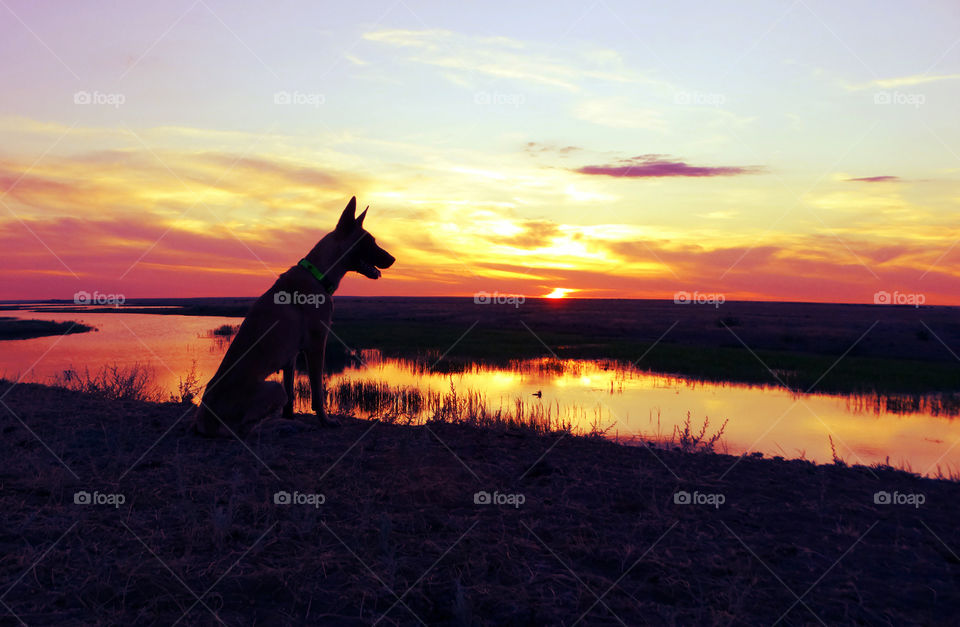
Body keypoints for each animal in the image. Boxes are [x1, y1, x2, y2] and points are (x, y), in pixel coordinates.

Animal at [194, 196, 394, 436]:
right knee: (247, 429)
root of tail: (204, 419)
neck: (317, 274)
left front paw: (291, 416)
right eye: (369, 242)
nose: (393, 259)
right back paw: (285, 425)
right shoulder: (316, 346)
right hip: (273, 388)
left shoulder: (291, 356)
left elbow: (291, 397)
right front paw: (325, 421)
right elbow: (317, 393)